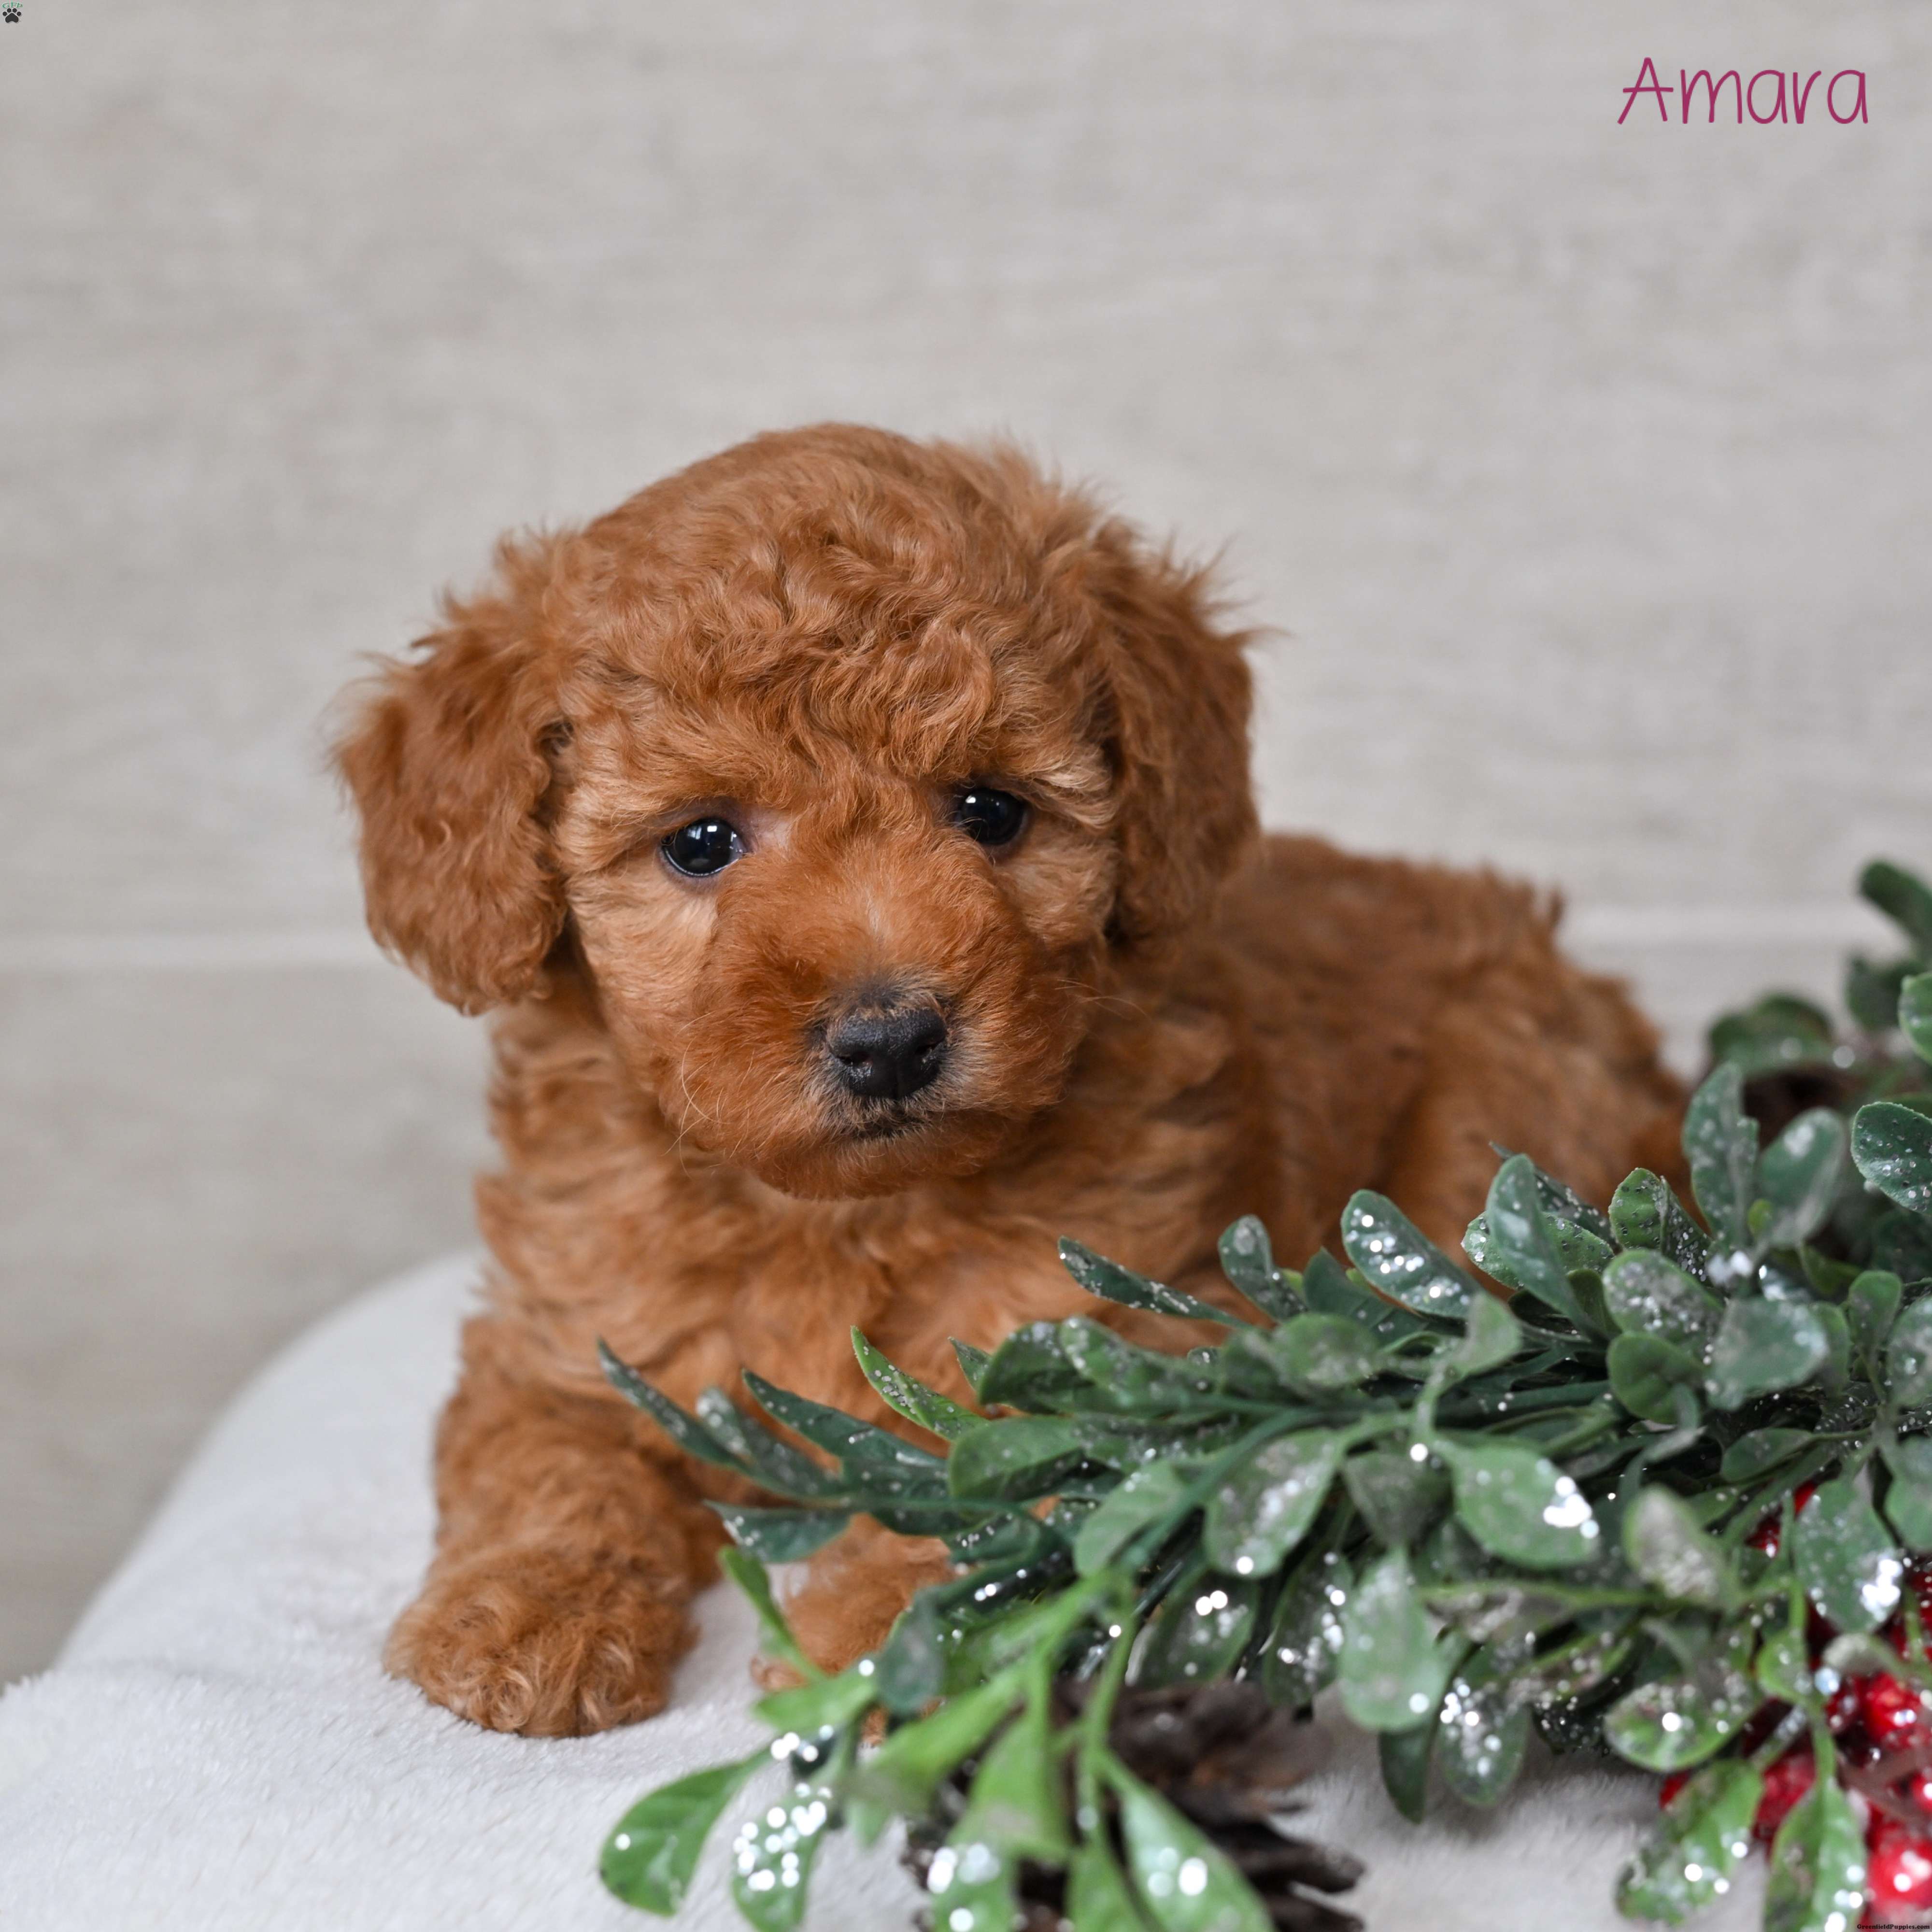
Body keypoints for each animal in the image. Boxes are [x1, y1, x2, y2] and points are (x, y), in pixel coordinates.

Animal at [335, 424, 1683, 1736]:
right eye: (700, 841)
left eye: (990, 810)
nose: (888, 1039)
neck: (832, 1217)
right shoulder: (569, 1333)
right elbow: (546, 1461)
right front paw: (528, 1607)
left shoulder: (1107, 1338)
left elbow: (983, 1469)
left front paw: (883, 1640)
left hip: (1487, 1126)